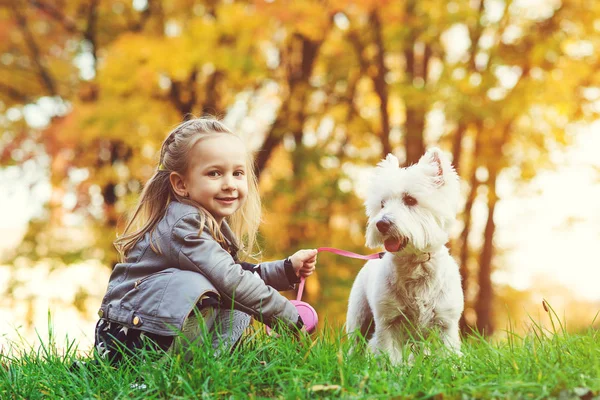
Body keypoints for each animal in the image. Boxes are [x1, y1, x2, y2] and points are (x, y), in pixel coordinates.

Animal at [346, 148, 464, 364]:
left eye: (410, 200)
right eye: (382, 204)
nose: (381, 224)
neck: (415, 263)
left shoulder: (445, 323)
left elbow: (446, 355)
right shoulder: (388, 321)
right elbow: (391, 356)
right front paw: (395, 370)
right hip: (359, 315)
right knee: (356, 342)